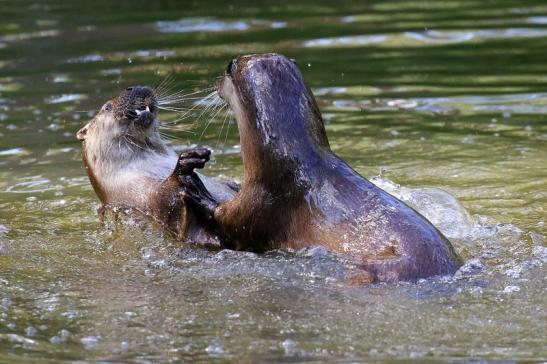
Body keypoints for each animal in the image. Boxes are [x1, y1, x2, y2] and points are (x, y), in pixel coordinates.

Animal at [183, 53, 462, 282]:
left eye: (229, 67)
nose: (216, 82)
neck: (289, 158)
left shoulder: (265, 198)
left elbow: (228, 223)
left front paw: (196, 190)